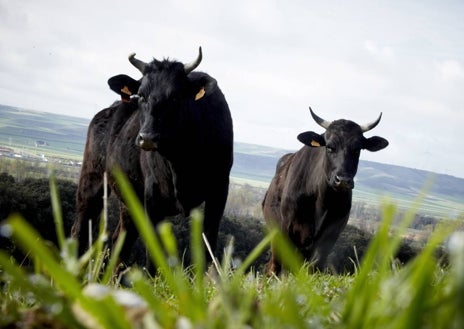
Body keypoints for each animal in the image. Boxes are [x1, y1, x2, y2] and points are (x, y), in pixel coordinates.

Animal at [71, 47, 234, 266]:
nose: (147, 137)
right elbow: (154, 254)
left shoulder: (219, 190)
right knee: (80, 229)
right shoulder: (153, 196)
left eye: (175, 96)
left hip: (129, 199)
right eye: (141, 95)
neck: (182, 160)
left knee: (121, 240)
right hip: (91, 181)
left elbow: (208, 245)